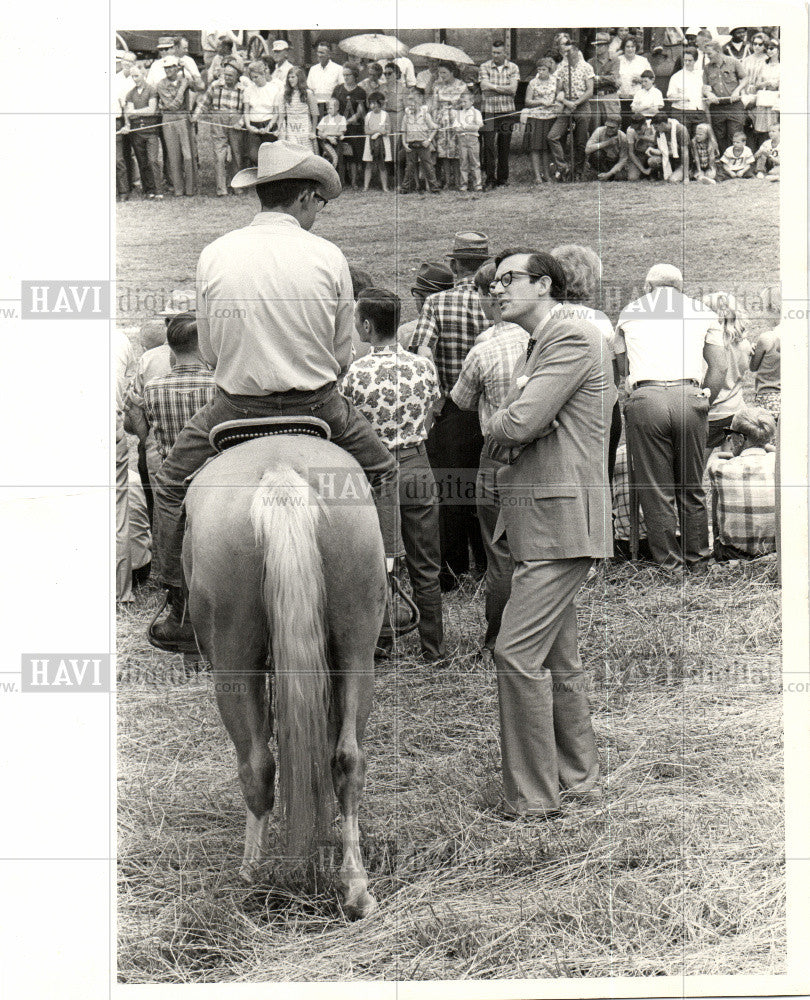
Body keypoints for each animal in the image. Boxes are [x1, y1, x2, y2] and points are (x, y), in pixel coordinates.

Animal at [183, 432, 386, 920]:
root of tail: (279, 468)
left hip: (233, 660)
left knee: (257, 764)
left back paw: (251, 874)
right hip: (356, 644)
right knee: (347, 758)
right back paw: (355, 886)